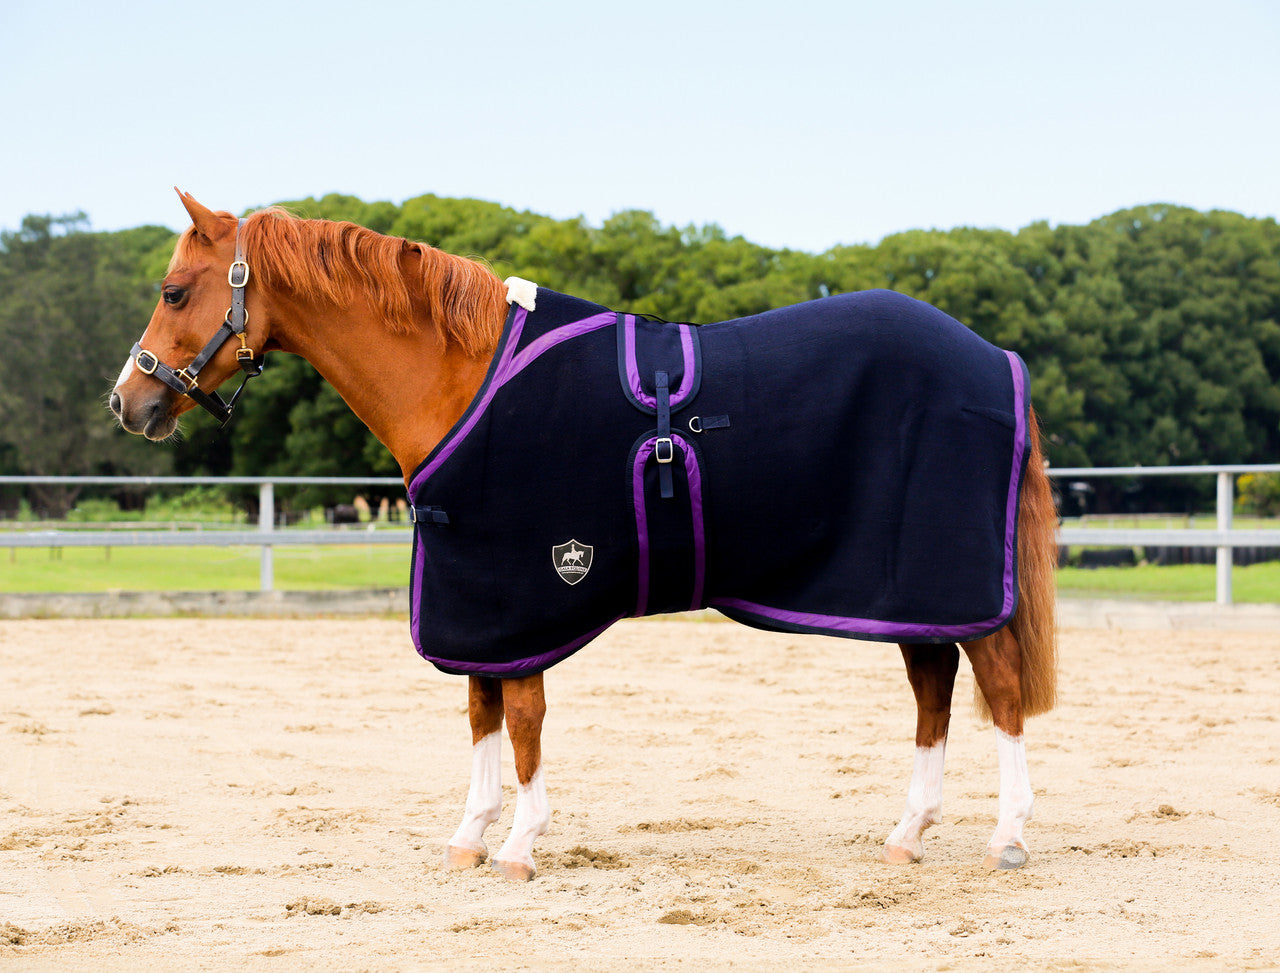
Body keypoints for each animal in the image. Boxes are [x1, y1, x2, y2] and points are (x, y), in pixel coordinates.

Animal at [110, 189, 1054, 880]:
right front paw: (471, 835)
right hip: (906, 592)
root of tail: (993, 357)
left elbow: (524, 716)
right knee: (934, 691)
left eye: (173, 291)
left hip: (950, 580)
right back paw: (908, 832)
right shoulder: (481, 602)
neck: (463, 373)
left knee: (1000, 689)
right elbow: (482, 711)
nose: (129, 401)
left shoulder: (530, 588)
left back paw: (1006, 835)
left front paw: (521, 845)